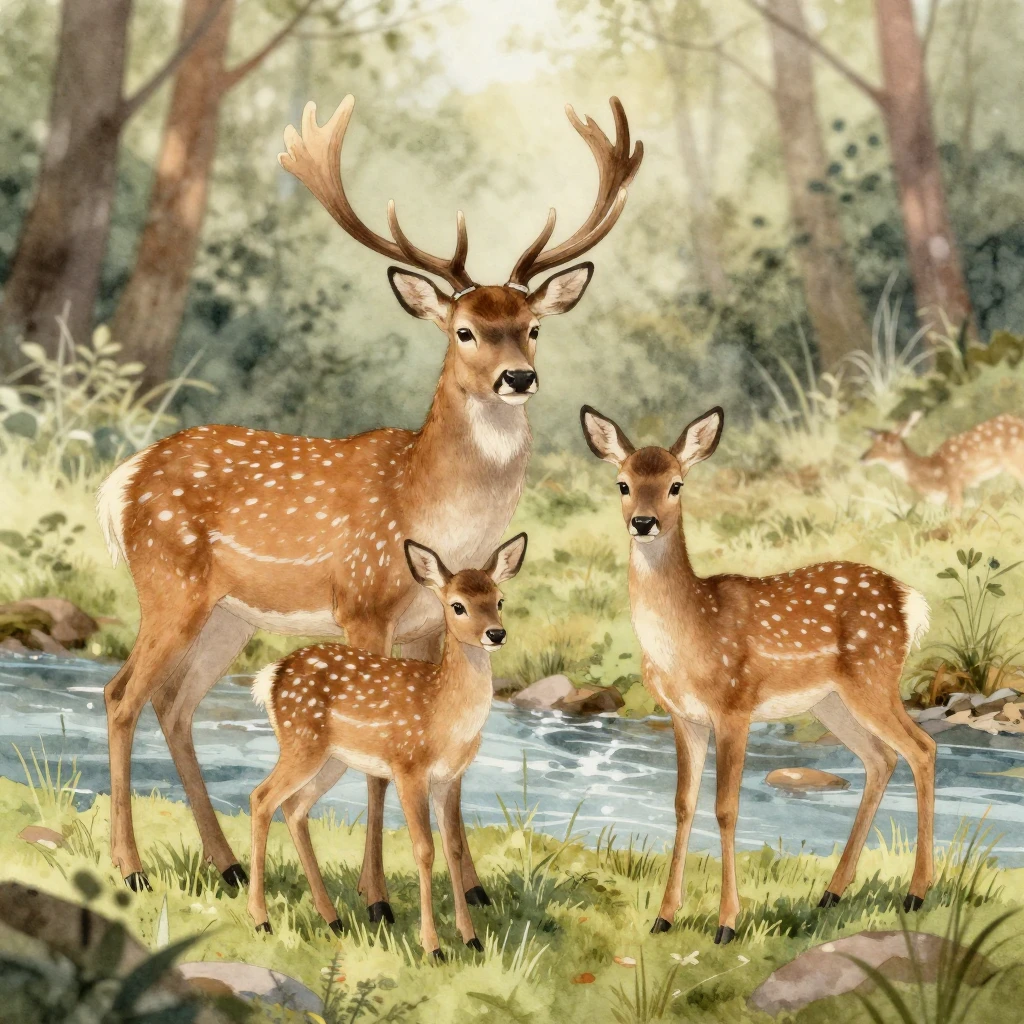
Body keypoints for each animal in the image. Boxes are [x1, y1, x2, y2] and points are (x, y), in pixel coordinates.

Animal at [247, 533, 527, 958]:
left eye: (498, 600)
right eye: (457, 605)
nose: (495, 634)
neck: (444, 716)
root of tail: (271, 677)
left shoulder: (450, 777)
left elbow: (454, 848)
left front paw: (472, 938)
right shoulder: (409, 767)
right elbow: (424, 849)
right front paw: (432, 946)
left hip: (331, 760)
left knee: (294, 808)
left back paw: (332, 919)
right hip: (301, 743)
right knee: (261, 798)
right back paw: (261, 919)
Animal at [580, 404, 935, 945]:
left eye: (676, 485)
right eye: (622, 483)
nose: (644, 522)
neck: (690, 633)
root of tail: (907, 601)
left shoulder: (734, 705)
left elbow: (726, 808)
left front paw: (727, 923)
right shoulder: (684, 716)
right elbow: (683, 804)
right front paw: (664, 917)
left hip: (873, 677)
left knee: (922, 749)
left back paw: (916, 893)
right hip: (831, 702)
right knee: (881, 759)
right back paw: (832, 893)